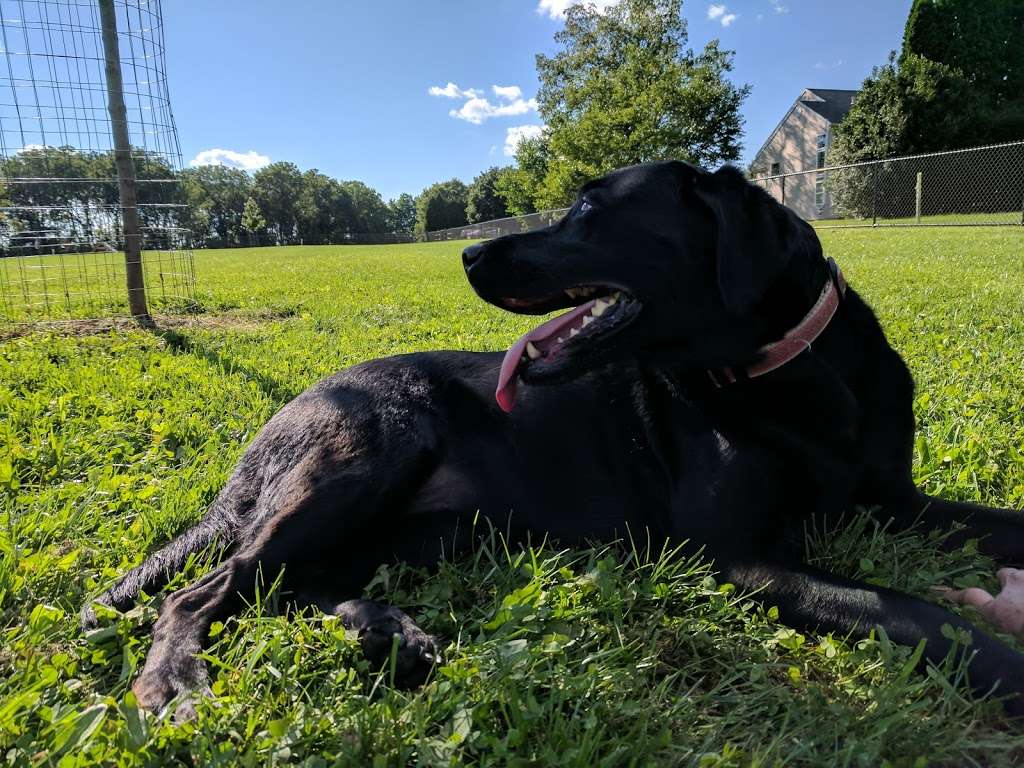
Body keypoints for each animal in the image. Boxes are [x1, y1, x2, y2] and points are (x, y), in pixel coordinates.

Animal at [81, 160, 1024, 716]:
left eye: (589, 211)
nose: (466, 258)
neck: (790, 372)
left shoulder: (895, 501)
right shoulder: (739, 556)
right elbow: (909, 610)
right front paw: (1007, 669)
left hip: (437, 525)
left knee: (298, 581)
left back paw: (389, 631)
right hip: (364, 456)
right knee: (209, 588)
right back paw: (176, 679)